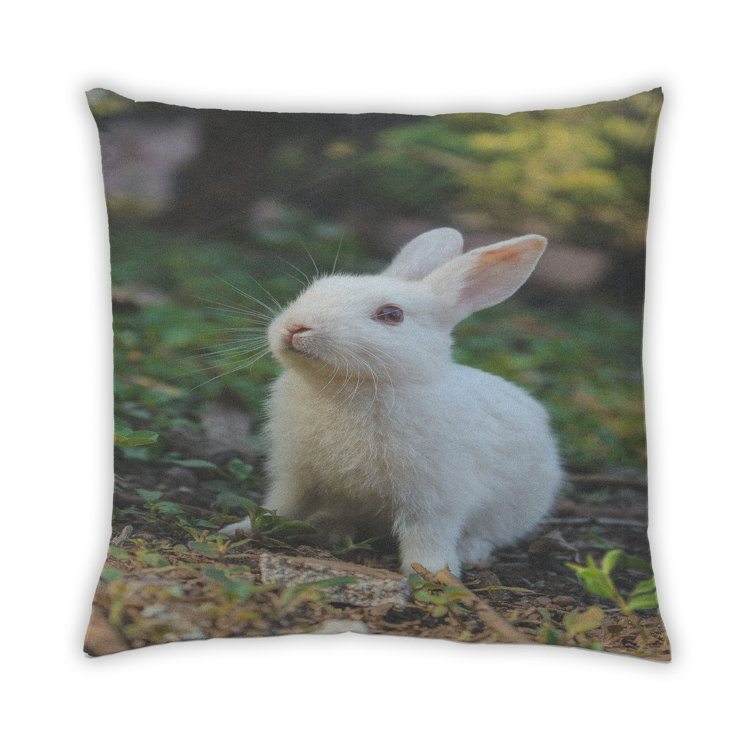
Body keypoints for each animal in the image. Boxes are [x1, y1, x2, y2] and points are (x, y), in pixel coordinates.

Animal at [220, 228, 562, 576]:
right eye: (315, 288)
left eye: (391, 315)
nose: (295, 327)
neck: (350, 388)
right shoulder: (298, 475)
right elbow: (281, 505)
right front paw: (239, 528)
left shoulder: (433, 497)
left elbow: (426, 536)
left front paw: (432, 573)